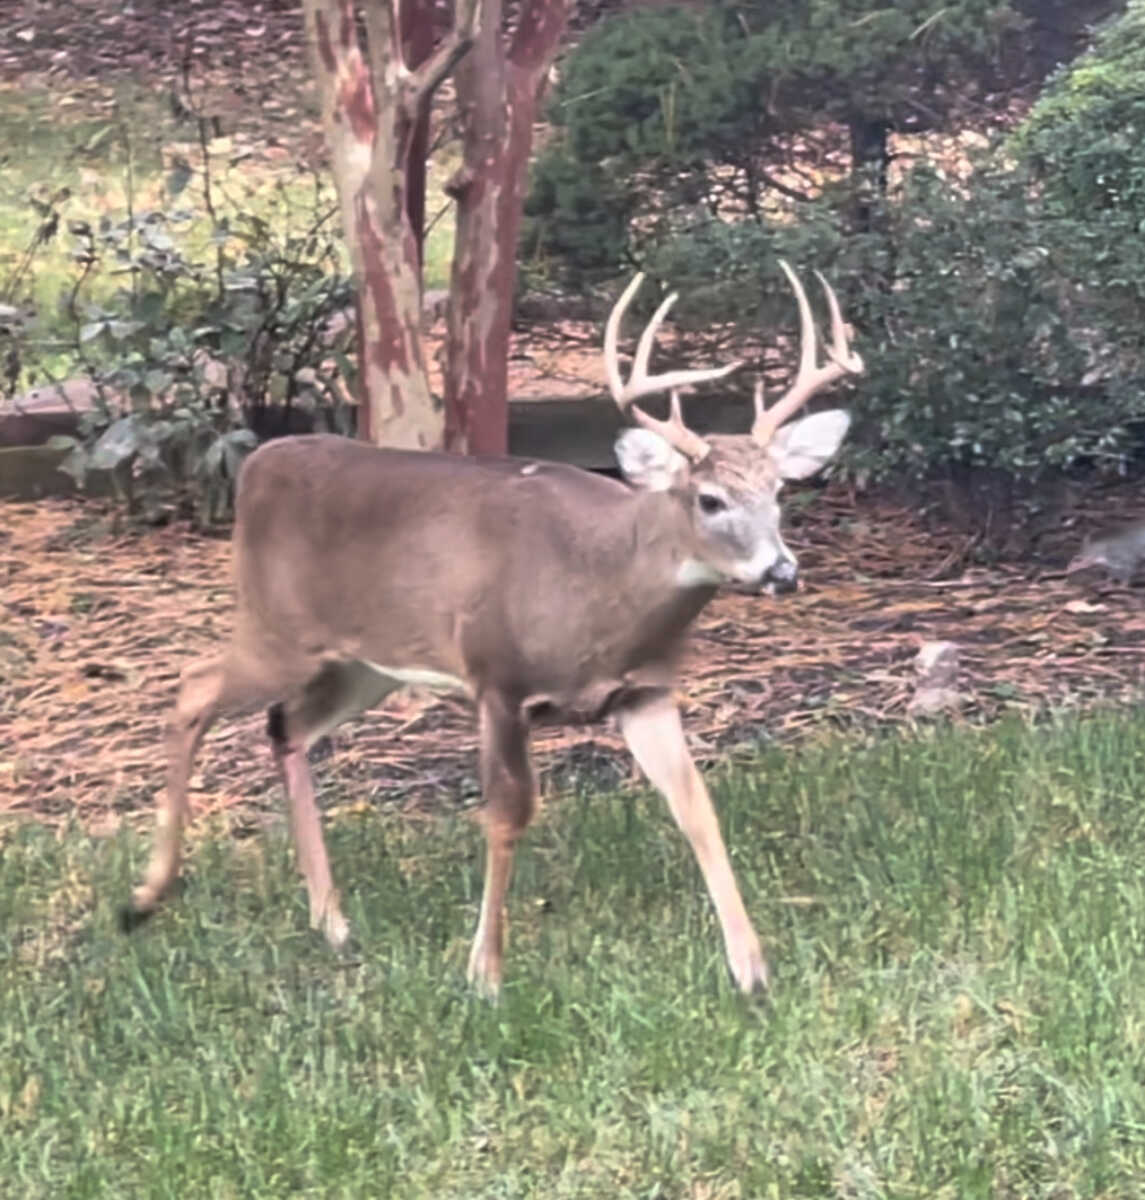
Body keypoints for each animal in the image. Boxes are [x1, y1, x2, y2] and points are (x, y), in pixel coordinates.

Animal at [122, 261, 863, 997]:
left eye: (778, 493)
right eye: (709, 500)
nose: (781, 570)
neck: (602, 596)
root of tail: (256, 463)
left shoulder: (644, 691)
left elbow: (694, 805)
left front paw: (751, 969)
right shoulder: (498, 676)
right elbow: (508, 813)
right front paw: (485, 973)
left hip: (361, 664)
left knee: (286, 727)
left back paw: (331, 922)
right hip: (278, 628)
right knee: (192, 686)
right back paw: (147, 897)